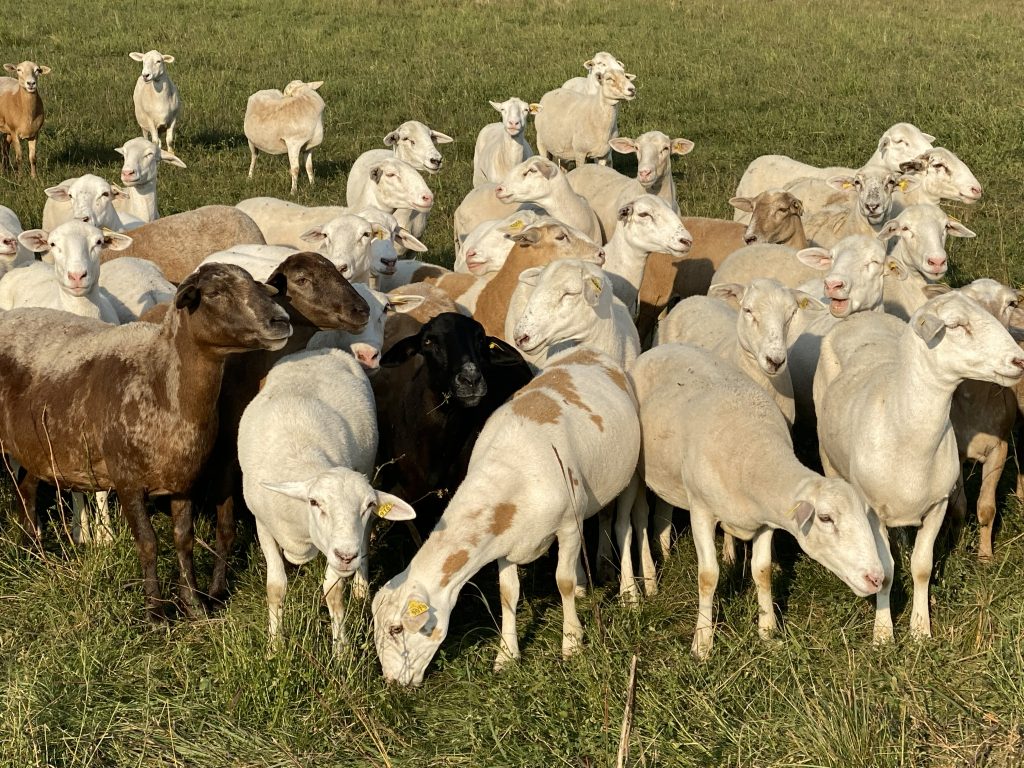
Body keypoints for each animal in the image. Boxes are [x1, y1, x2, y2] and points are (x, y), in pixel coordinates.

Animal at [0, 263, 292, 619]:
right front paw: (155, 611)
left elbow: (183, 539)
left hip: (37, 449)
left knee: (26, 490)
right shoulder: (127, 480)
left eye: (257, 286)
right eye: (214, 293)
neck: (160, 380)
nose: (281, 321)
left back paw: (33, 552)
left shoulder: (183, 480)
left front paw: (193, 604)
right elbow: (148, 543)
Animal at [239, 346, 416, 653]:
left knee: (365, 537)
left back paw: (361, 587)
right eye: (315, 503)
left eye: (369, 505)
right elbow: (276, 588)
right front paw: (275, 646)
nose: (347, 556)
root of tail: (322, 350)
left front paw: (341, 651)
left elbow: (333, 592)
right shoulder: (262, 524)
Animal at [373, 346, 640, 685]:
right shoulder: (504, 543)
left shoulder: (567, 525)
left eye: (395, 629)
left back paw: (630, 593)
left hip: (631, 474)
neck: (508, 470)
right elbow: (507, 595)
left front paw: (572, 643)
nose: (392, 683)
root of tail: (588, 351)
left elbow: (562, 582)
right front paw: (507, 655)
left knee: (622, 528)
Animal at [625, 343, 884, 658]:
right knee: (639, 518)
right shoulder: (701, 510)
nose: (877, 579)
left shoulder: (766, 522)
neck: (755, 454)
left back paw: (664, 549)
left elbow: (762, 573)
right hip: (638, 473)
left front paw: (768, 632)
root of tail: (661, 347)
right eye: (825, 518)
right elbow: (708, 576)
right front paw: (702, 643)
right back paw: (650, 580)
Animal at [814, 292, 1024, 642]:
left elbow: (922, 567)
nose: (1019, 360)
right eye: (956, 325)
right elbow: (885, 571)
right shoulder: (870, 512)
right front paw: (883, 634)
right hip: (827, 454)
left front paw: (920, 629)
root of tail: (864, 316)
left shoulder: (938, 505)